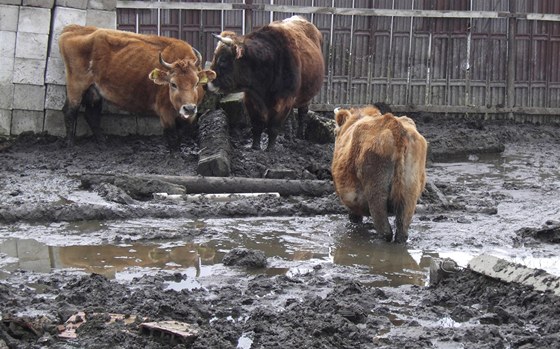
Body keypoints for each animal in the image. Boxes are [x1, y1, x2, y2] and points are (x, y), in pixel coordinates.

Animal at [58, 24, 217, 150]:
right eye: (173, 84)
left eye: (196, 82)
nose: (189, 108)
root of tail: (71, 29)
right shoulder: (165, 113)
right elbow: (172, 136)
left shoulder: (189, 115)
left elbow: (181, 132)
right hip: (76, 86)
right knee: (70, 111)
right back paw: (70, 145)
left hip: (94, 90)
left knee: (91, 114)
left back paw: (102, 142)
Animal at [209, 16, 326, 150]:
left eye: (222, 60)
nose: (206, 84)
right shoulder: (251, 99)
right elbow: (257, 125)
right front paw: (255, 146)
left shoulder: (285, 100)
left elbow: (273, 127)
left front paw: (270, 148)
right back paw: (288, 136)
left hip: (305, 96)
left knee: (303, 113)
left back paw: (299, 135)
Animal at [330, 105, 426, 242]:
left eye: (334, 132)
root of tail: (394, 125)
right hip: (410, 194)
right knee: (401, 232)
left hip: (376, 193)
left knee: (385, 231)